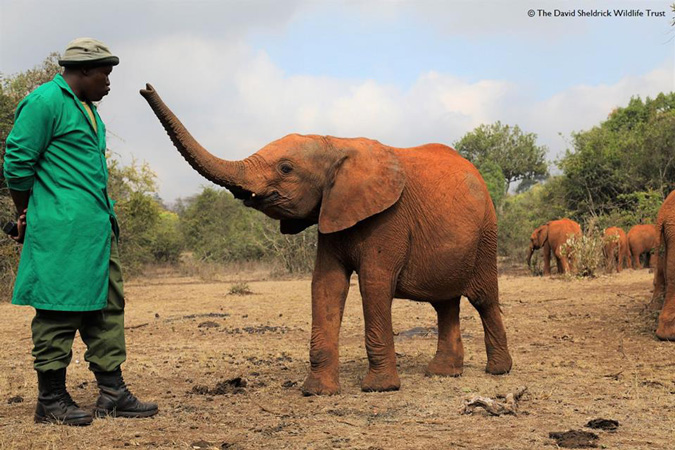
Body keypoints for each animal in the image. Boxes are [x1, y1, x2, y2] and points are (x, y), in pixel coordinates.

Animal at [141, 83, 512, 394]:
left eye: (286, 169)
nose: (145, 87)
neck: (335, 143)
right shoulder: (332, 211)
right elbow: (326, 285)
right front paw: (316, 392)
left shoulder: (388, 217)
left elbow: (374, 284)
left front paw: (378, 389)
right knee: (445, 302)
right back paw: (443, 373)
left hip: (487, 232)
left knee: (482, 298)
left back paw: (498, 371)